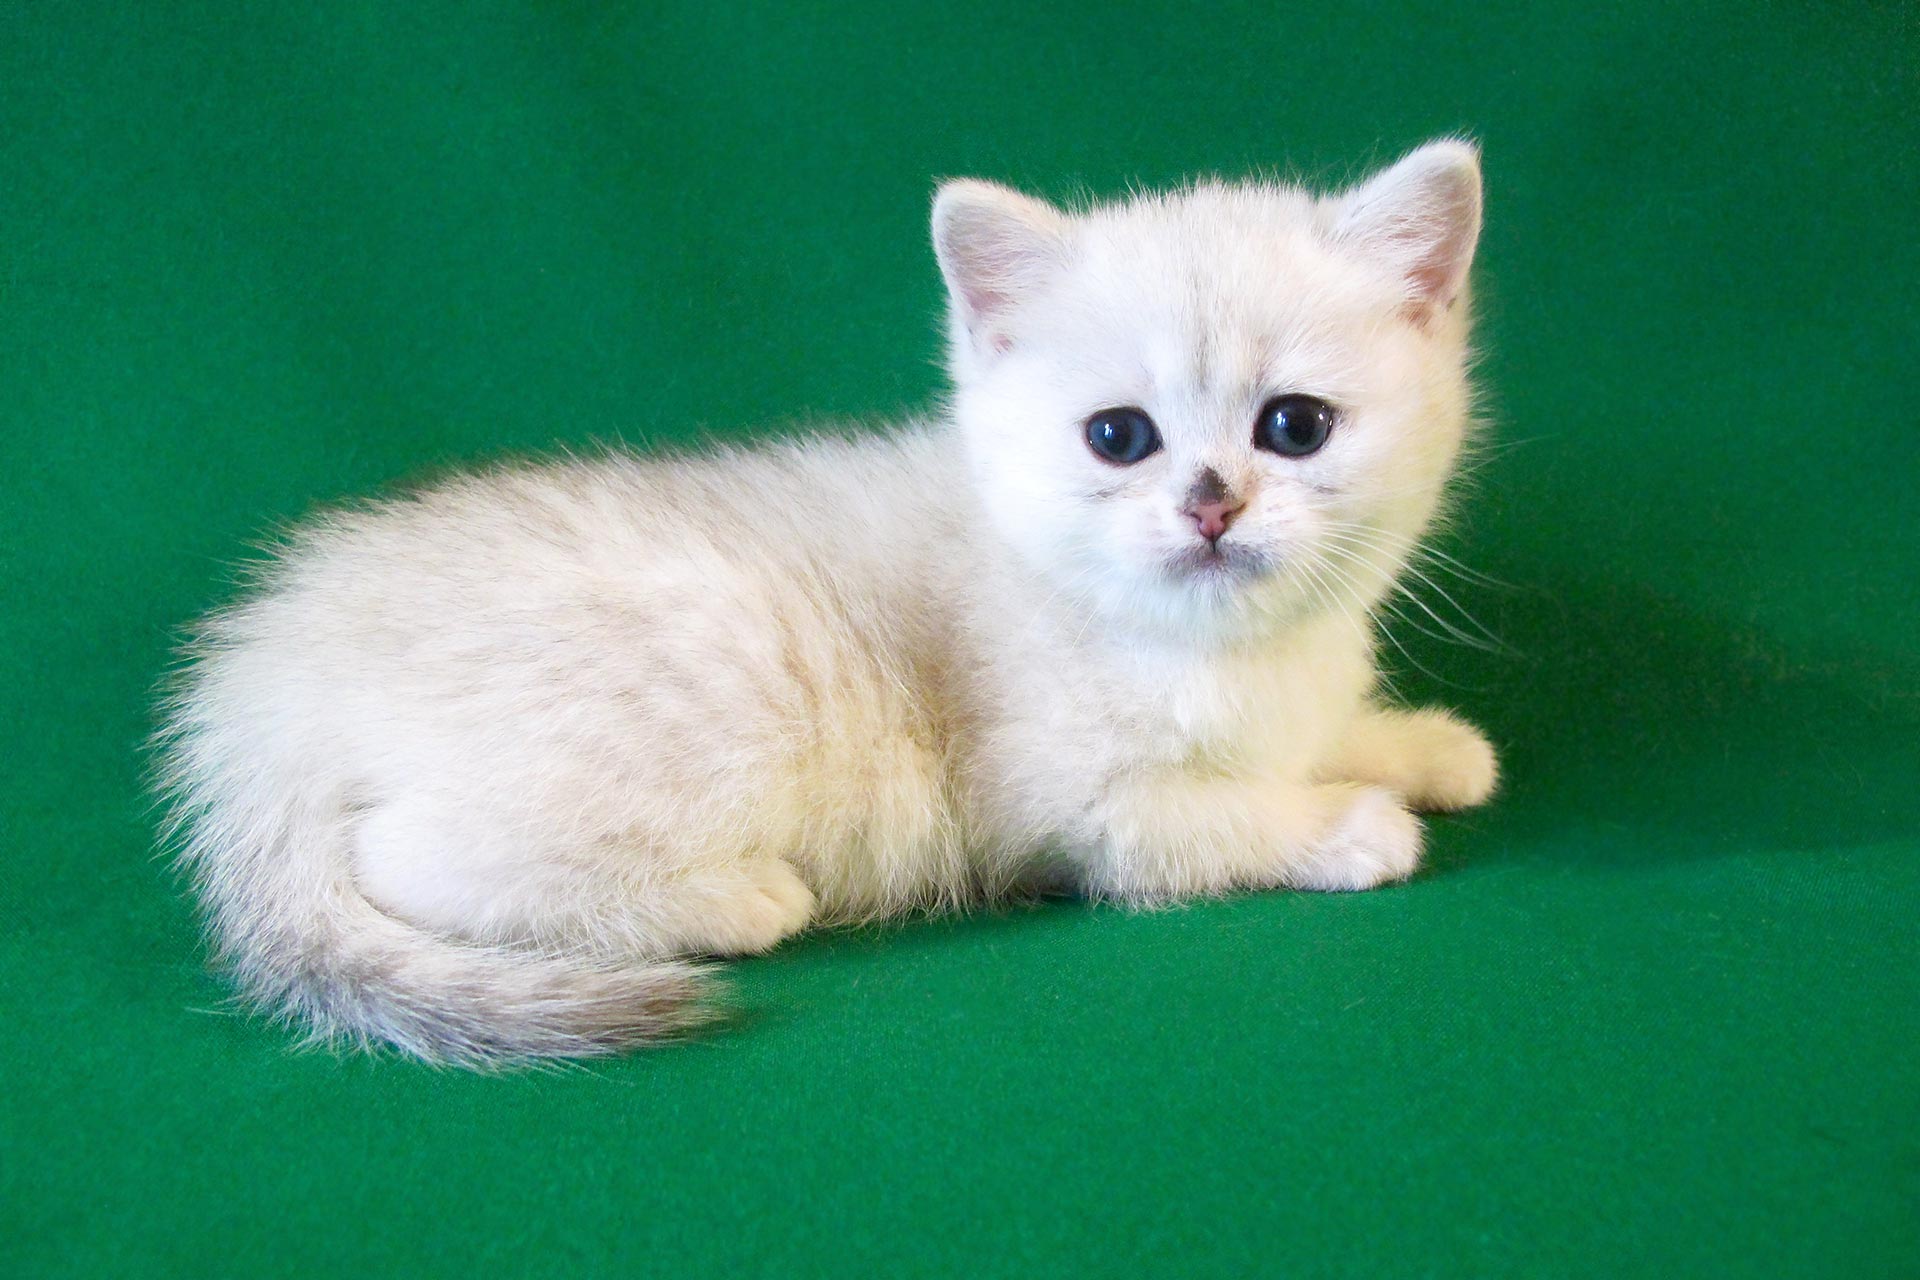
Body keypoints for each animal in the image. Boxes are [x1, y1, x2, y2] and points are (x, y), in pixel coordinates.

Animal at [153, 140, 1497, 1066]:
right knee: (411, 857)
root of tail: (268, 674)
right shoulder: (1072, 809)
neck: (1228, 654)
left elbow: (1319, 735)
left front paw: (1422, 744)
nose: (1211, 503)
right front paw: (1353, 823)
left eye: (1295, 426)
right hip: (721, 692)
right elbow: (1220, 819)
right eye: (1120, 436)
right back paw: (734, 897)